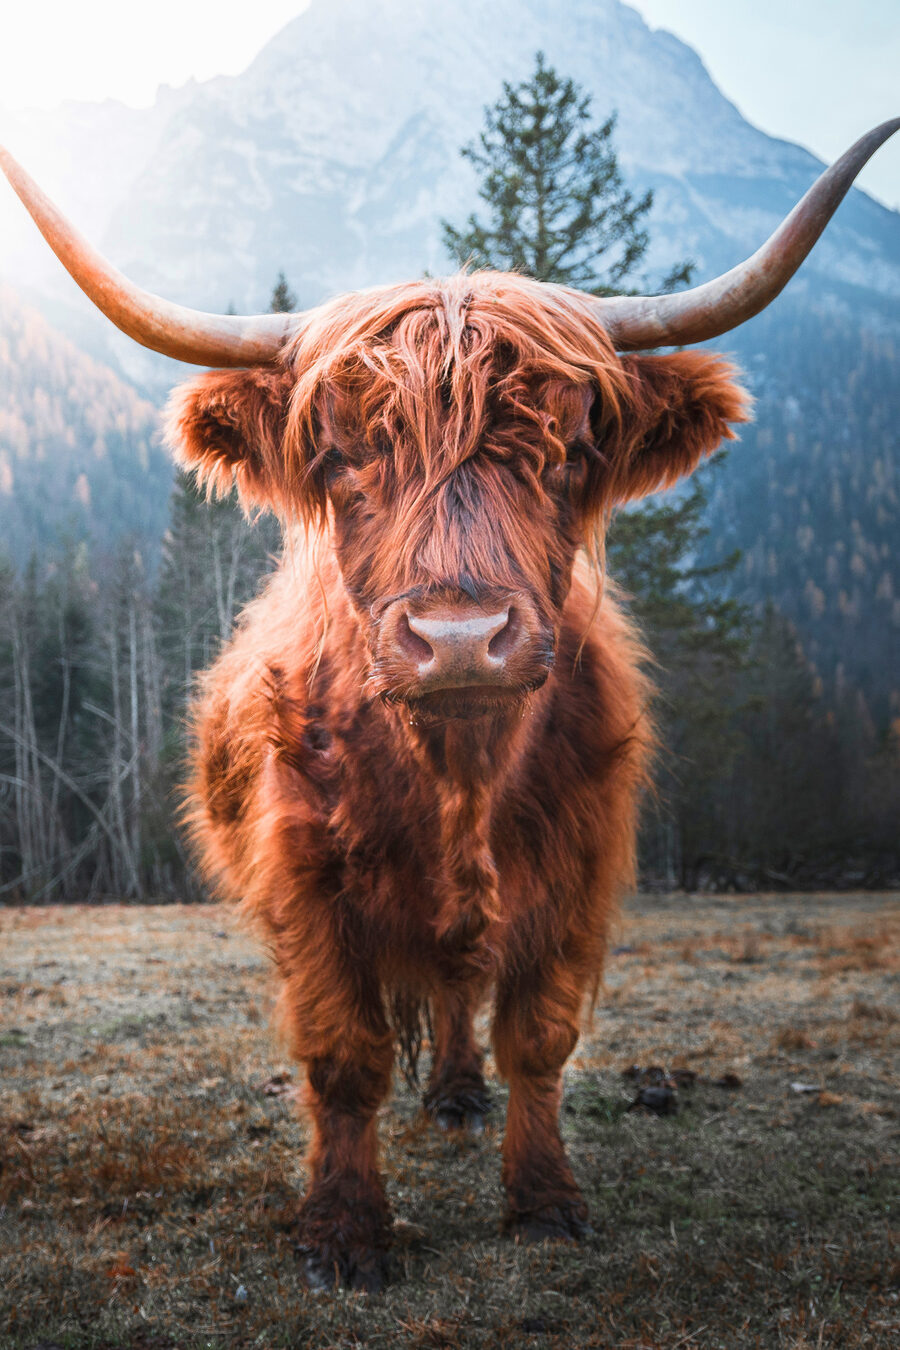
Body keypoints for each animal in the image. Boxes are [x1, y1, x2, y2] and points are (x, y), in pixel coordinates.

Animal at [2, 117, 896, 1292]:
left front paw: (546, 1201)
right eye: (341, 455)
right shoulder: (306, 880)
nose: (462, 639)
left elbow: (539, 1038)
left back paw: (462, 1096)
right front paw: (343, 1232)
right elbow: (344, 1056)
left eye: (570, 450)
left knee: (460, 990)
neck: (458, 776)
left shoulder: (576, 870)